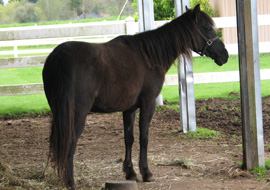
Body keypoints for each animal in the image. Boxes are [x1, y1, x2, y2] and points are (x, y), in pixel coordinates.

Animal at [42, 4, 228, 189]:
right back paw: (70, 182)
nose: (225, 55)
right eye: (208, 28)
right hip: (78, 114)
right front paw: (146, 172)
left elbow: (129, 138)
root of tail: (61, 58)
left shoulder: (129, 109)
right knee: (70, 142)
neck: (149, 56)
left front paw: (130, 172)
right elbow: (144, 138)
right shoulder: (148, 104)